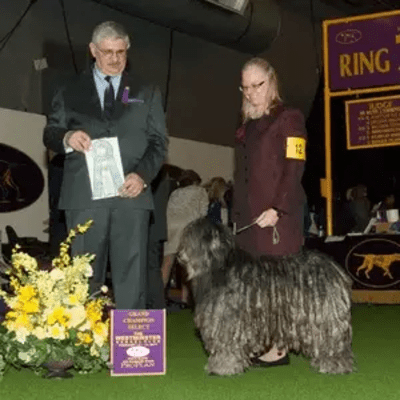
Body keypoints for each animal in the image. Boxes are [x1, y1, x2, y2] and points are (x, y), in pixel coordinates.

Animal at [177, 217, 354, 376]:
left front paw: (223, 367)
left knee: (333, 343)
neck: (221, 267)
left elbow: (226, 346)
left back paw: (335, 365)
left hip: (325, 316)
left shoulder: (226, 321)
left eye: (191, 240)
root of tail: (334, 269)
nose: (179, 256)